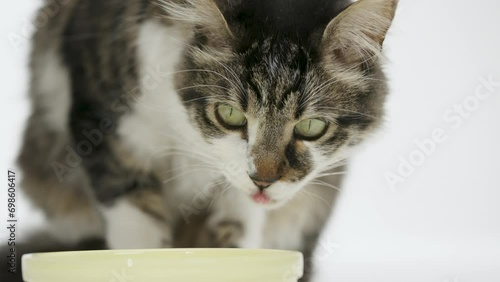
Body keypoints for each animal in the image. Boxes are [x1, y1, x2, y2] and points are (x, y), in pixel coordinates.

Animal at [16, 0, 398, 280]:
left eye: (311, 127)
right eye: (230, 115)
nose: (263, 180)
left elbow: (235, 235)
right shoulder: (105, 124)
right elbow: (135, 225)